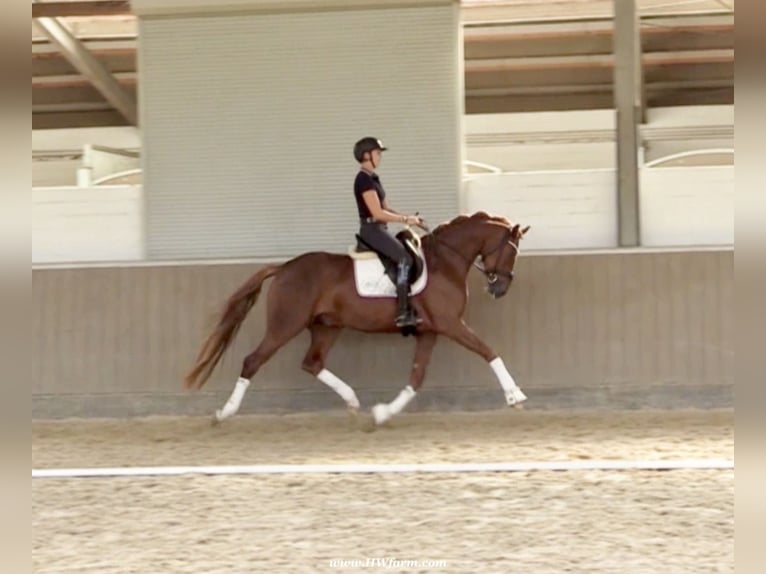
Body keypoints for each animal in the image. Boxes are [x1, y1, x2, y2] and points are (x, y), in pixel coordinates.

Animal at [185, 213, 532, 428]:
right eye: (511, 251)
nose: (500, 288)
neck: (445, 261)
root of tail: (284, 267)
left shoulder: (430, 331)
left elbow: (416, 377)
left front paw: (382, 414)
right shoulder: (450, 324)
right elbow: (488, 351)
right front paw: (515, 396)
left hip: (327, 326)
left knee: (312, 362)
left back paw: (352, 401)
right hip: (285, 325)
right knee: (252, 361)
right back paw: (223, 413)